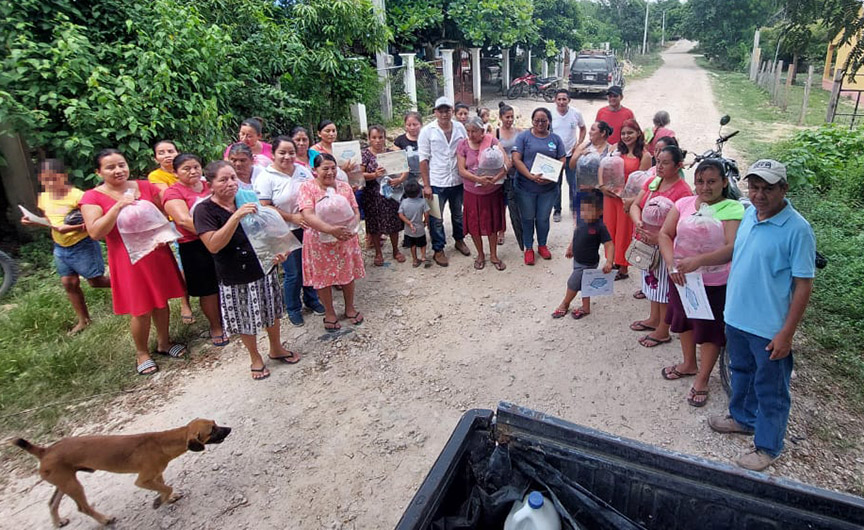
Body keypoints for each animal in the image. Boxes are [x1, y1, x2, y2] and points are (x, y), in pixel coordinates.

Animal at [12, 418, 231, 527]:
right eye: (212, 429)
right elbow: (166, 487)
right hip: (72, 485)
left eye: (215, 423)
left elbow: (164, 487)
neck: (162, 443)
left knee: (52, 503)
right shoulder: (143, 480)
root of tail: (44, 451)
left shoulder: (156, 475)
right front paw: (158, 502)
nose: (229, 429)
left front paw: (166, 499)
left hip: (64, 482)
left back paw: (58, 522)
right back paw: (105, 520)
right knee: (82, 508)